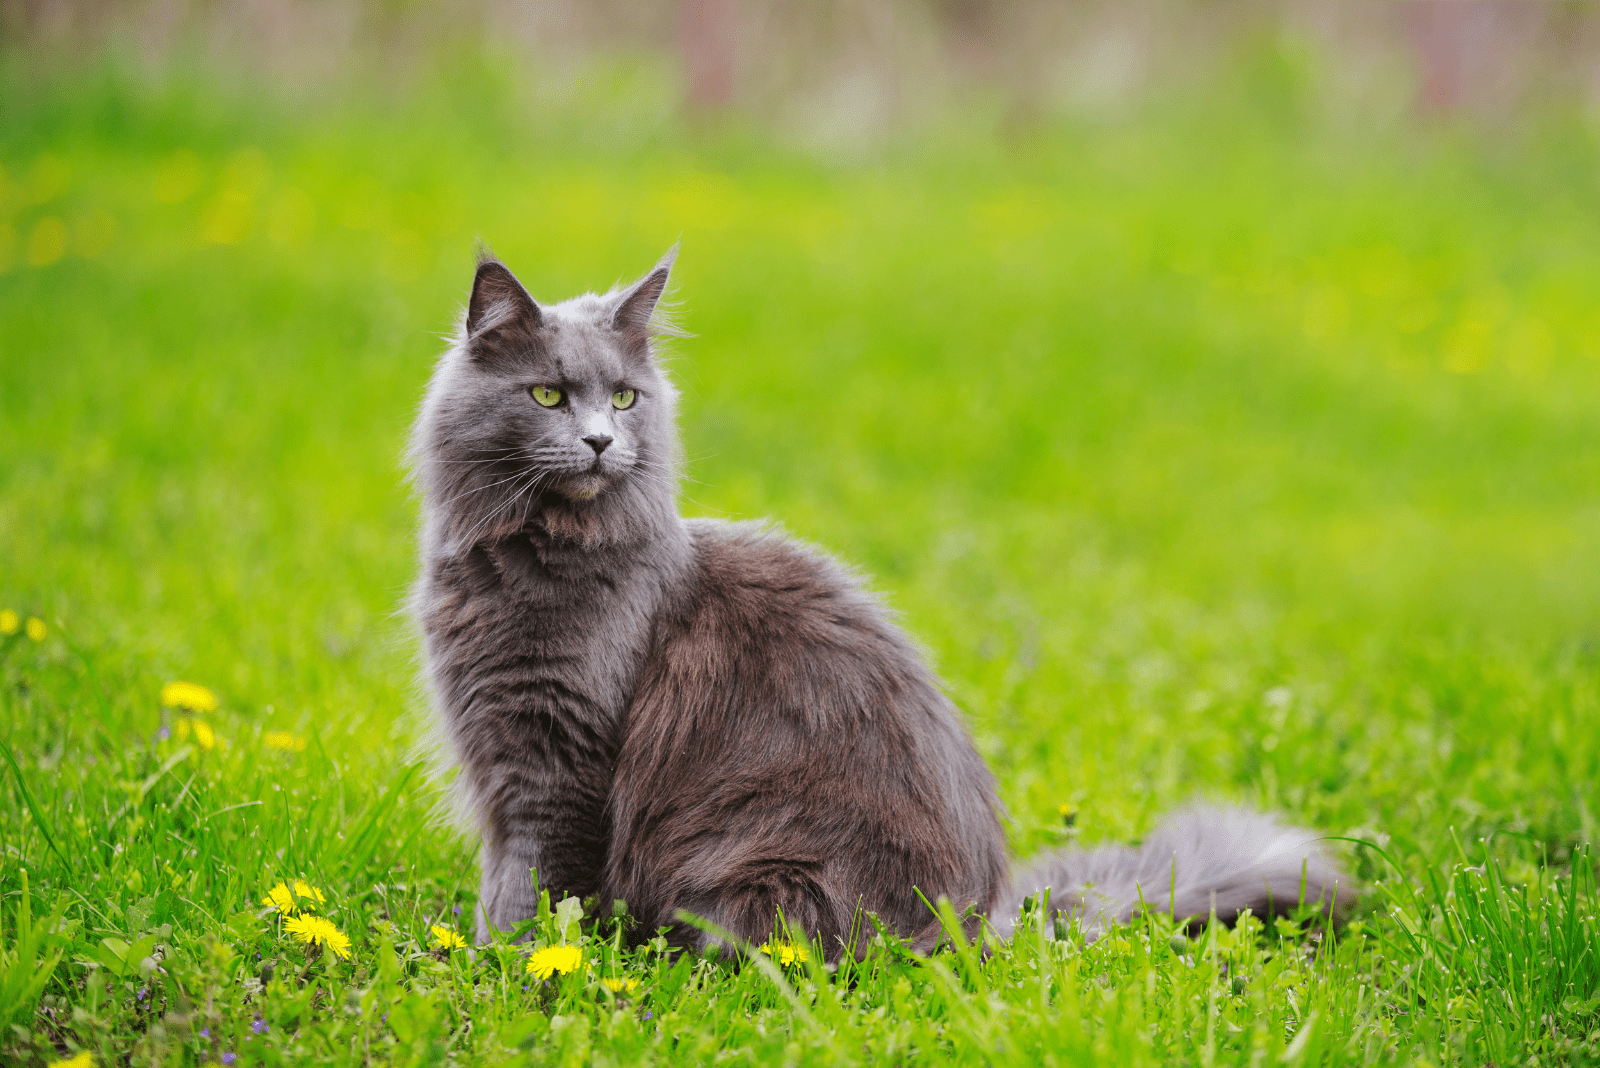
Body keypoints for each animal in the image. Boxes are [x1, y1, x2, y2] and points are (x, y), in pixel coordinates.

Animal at [406, 252, 1344, 959]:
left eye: (626, 398)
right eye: (549, 396)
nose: (602, 440)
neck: (534, 558)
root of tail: (988, 924)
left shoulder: (558, 764)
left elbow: (534, 893)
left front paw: (504, 966)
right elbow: (510, 883)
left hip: (758, 875)